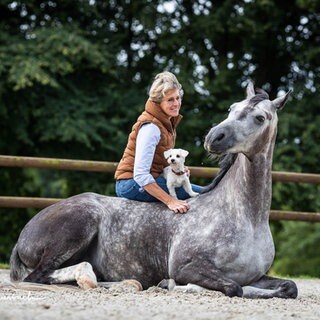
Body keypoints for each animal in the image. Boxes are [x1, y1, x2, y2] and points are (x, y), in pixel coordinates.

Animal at [9, 84, 298, 298]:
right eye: (232, 108)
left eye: (260, 117)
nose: (214, 138)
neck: (245, 216)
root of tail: (25, 233)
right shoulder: (187, 266)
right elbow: (234, 287)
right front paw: (173, 285)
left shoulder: (257, 275)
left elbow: (288, 287)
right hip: (79, 225)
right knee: (42, 276)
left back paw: (127, 284)